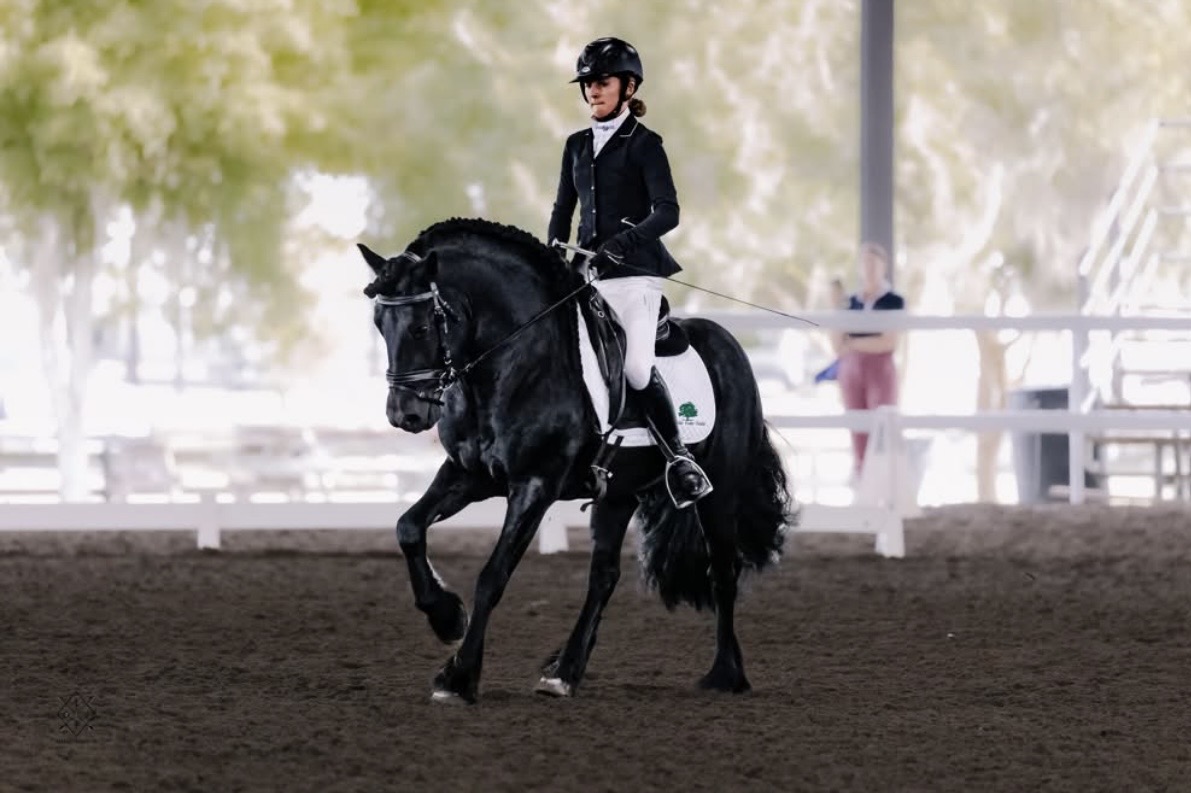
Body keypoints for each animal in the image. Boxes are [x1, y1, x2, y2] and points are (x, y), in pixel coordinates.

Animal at [358, 217, 796, 704]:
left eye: (421, 327)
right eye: (379, 322)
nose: (405, 415)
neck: (512, 362)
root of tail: (729, 345)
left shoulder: (535, 485)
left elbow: (493, 575)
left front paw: (459, 676)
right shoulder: (469, 475)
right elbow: (408, 528)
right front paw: (446, 617)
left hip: (718, 491)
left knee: (722, 568)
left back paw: (726, 673)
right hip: (619, 494)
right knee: (604, 575)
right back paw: (564, 671)